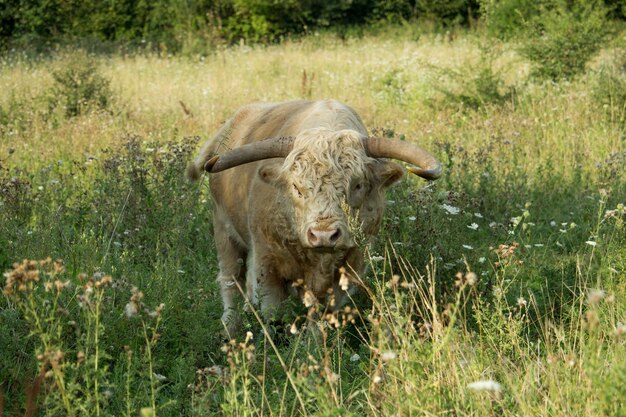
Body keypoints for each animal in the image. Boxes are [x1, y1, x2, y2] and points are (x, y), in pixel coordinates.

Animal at [188, 99, 442, 334]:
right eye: (296, 187)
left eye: (357, 185)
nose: (323, 235)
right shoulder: (266, 265)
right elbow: (272, 313)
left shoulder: (350, 267)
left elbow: (318, 316)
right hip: (224, 231)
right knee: (231, 283)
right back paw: (229, 329)